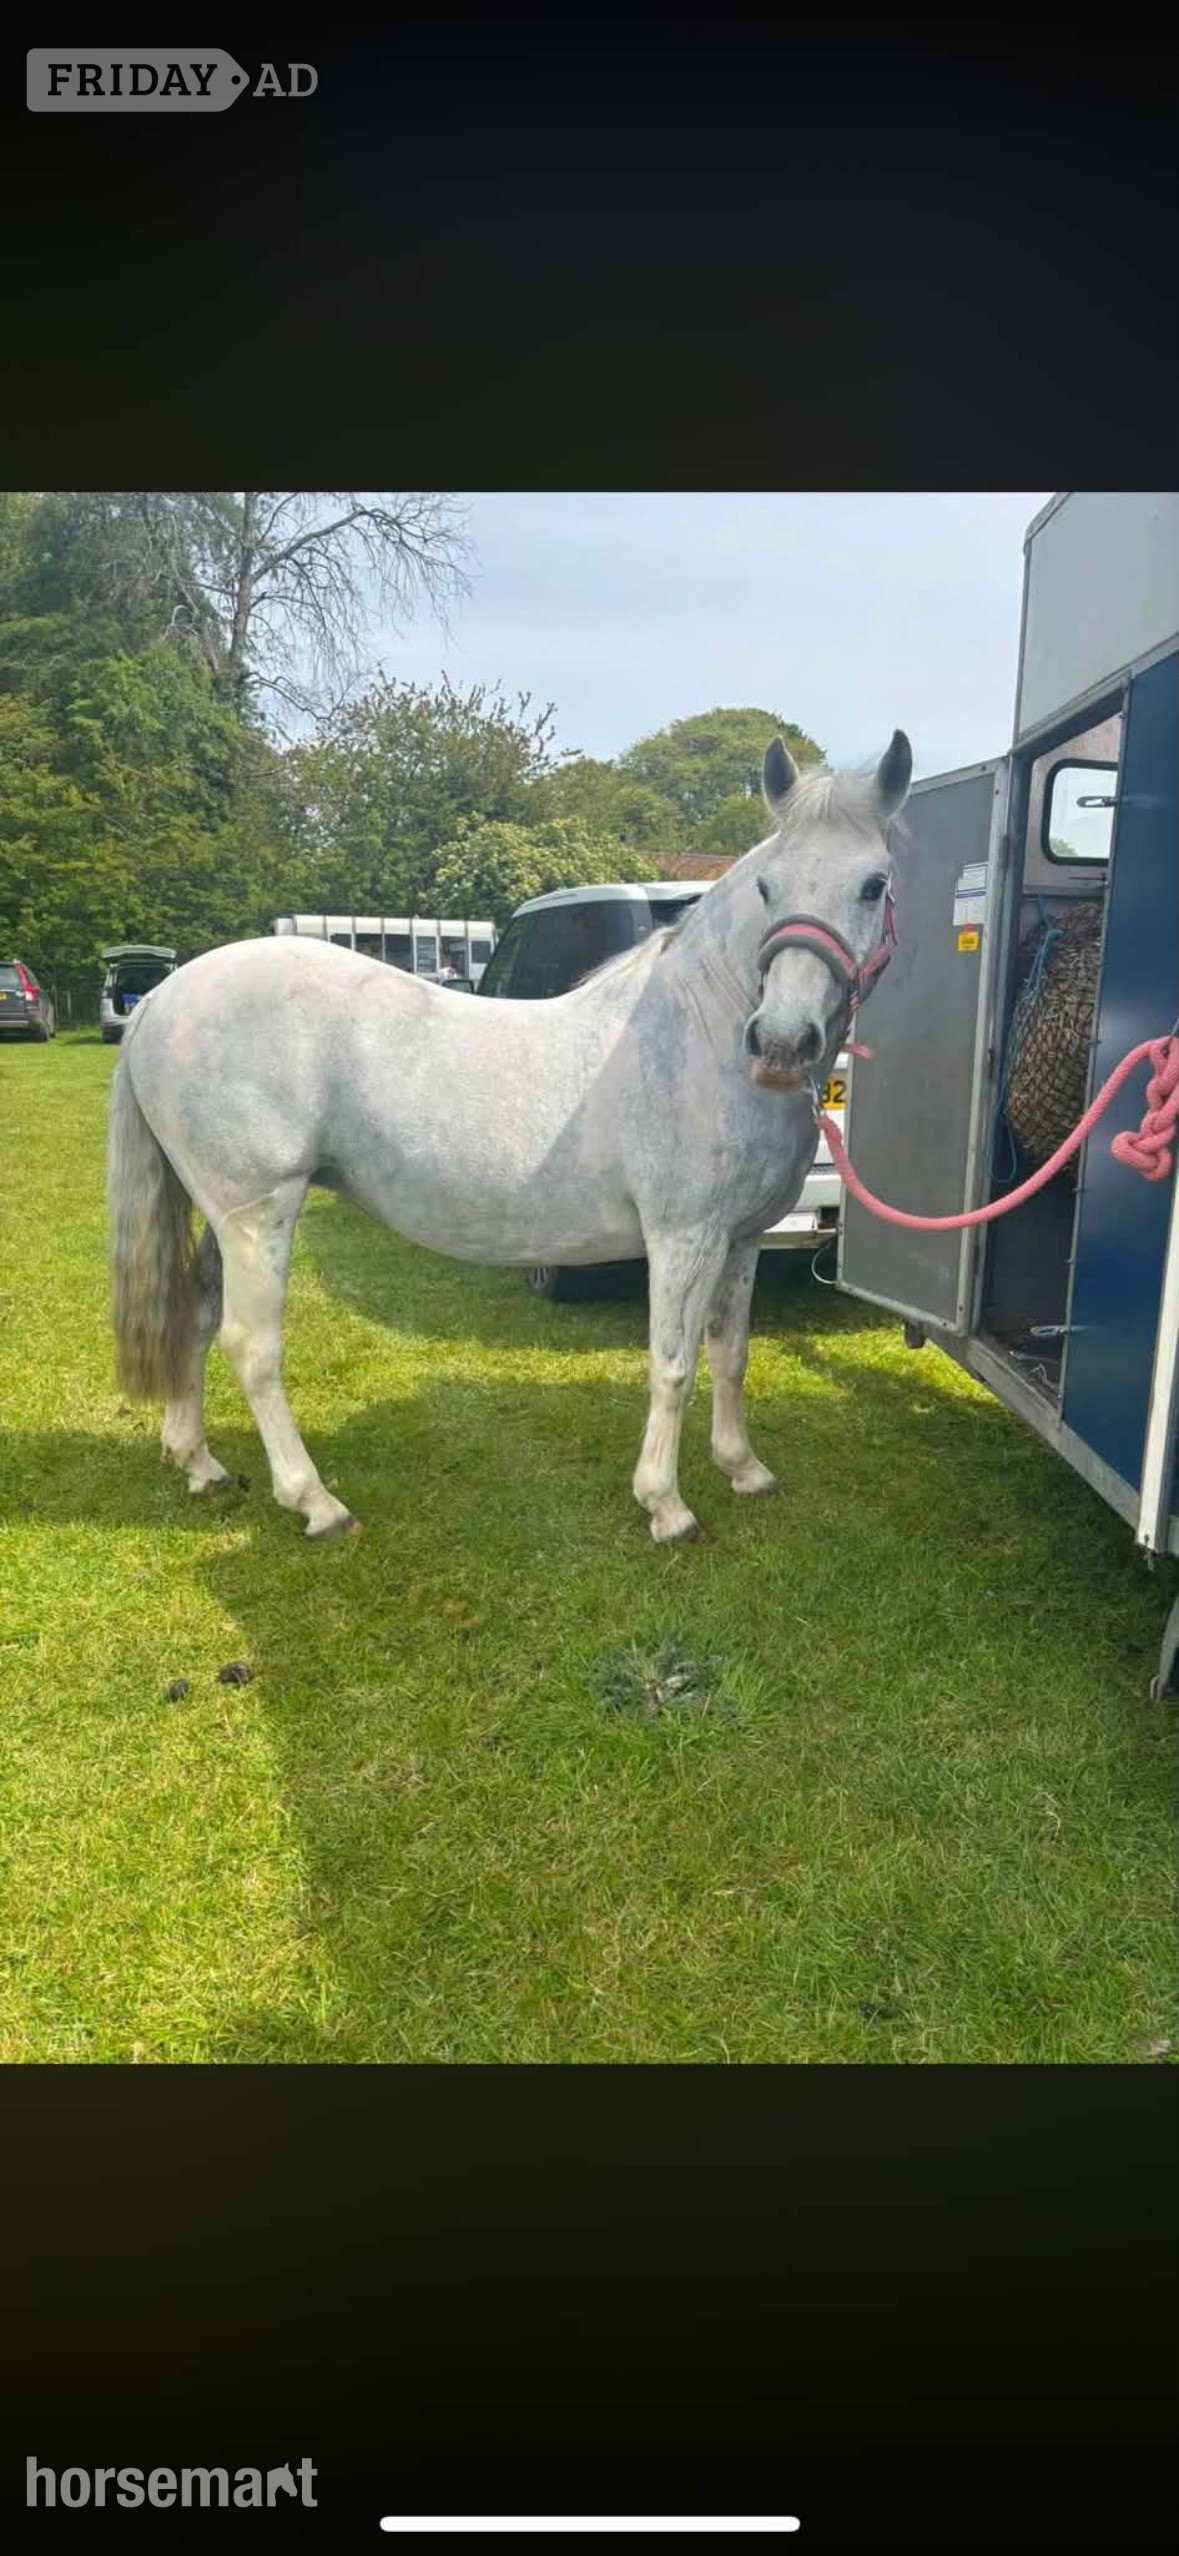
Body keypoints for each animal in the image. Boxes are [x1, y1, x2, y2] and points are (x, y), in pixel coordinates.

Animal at [107, 730, 911, 1544]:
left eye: (872, 884)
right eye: (767, 888)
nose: (780, 1044)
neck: (697, 1030)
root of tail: (160, 1001)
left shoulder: (740, 1238)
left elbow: (731, 1351)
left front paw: (743, 1468)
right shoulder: (683, 1237)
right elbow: (672, 1365)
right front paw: (666, 1505)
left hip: (222, 1213)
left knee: (195, 1315)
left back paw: (200, 1464)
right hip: (258, 1212)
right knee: (251, 1344)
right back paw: (315, 1501)